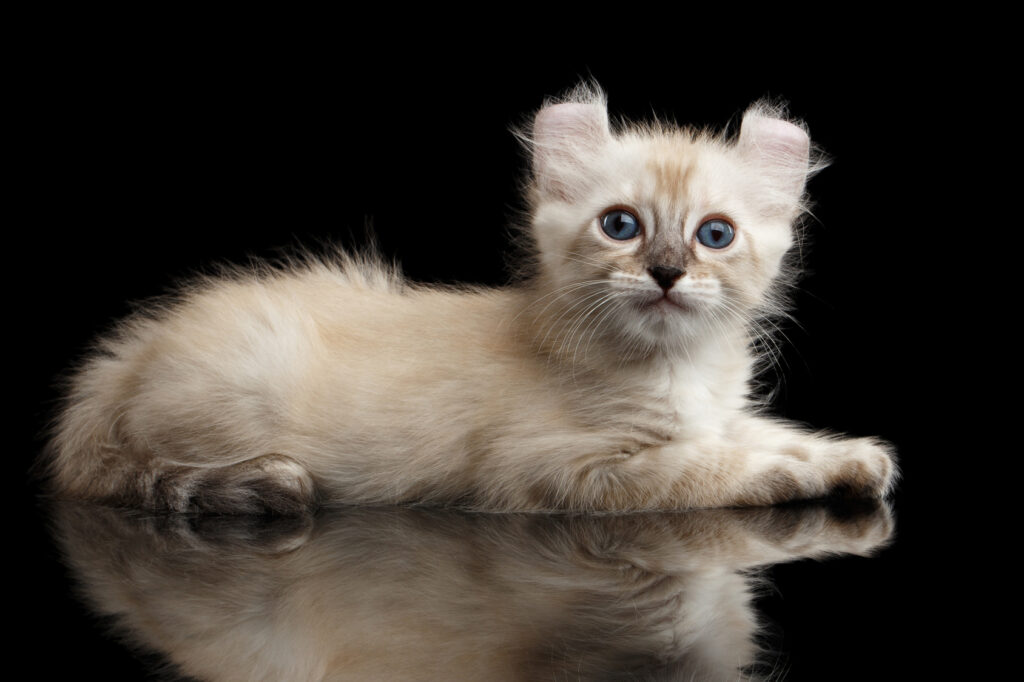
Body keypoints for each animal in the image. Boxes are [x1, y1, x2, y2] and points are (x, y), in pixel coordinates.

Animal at [48, 84, 897, 509]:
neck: (673, 367)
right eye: (621, 226)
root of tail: (123, 361)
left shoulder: (719, 414)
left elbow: (762, 432)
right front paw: (793, 477)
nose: (665, 273)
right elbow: (706, 468)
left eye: (714, 235)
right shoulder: (553, 470)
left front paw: (851, 460)